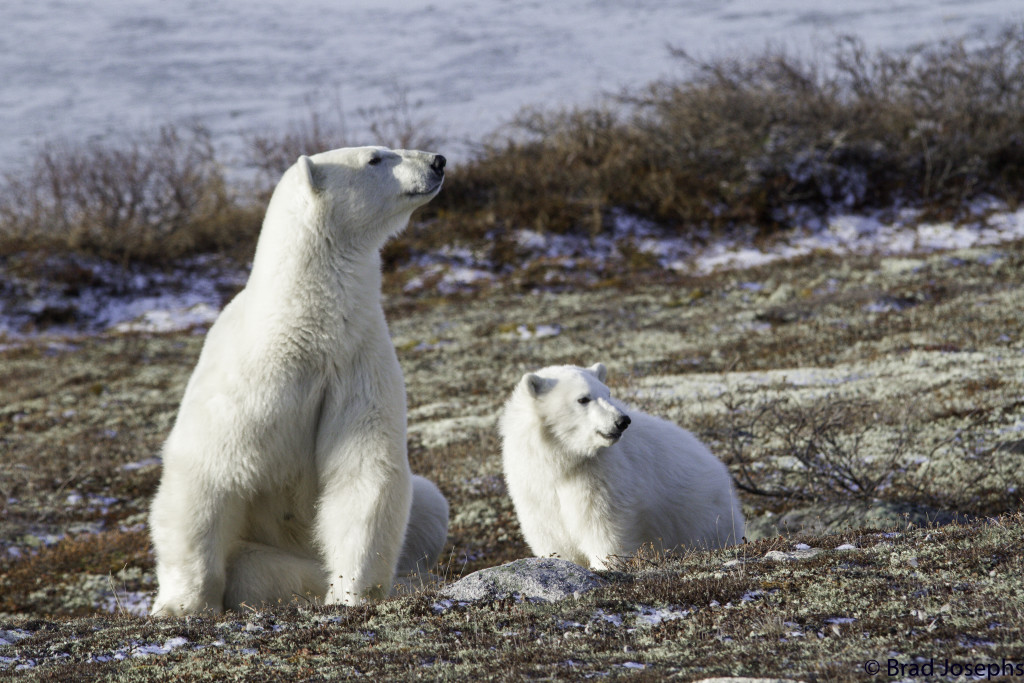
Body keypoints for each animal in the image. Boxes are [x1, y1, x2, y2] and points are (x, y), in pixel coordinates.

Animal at [149, 146, 446, 615]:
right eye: (376, 158)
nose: (438, 161)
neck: (304, 331)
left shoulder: (355, 363)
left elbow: (365, 470)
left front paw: (349, 591)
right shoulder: (251, 384)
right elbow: (206, 471)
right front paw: (183, 604)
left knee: (431, 504)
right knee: (254, 569)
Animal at [499, 363, 744, 570]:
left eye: (608, 393)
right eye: (583, 398)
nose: (622, 421)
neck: (563, 460)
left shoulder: (601, 478)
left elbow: (604, 530)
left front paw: (606, 567)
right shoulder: (534, 488)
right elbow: (553, 536)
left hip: (701, 517)